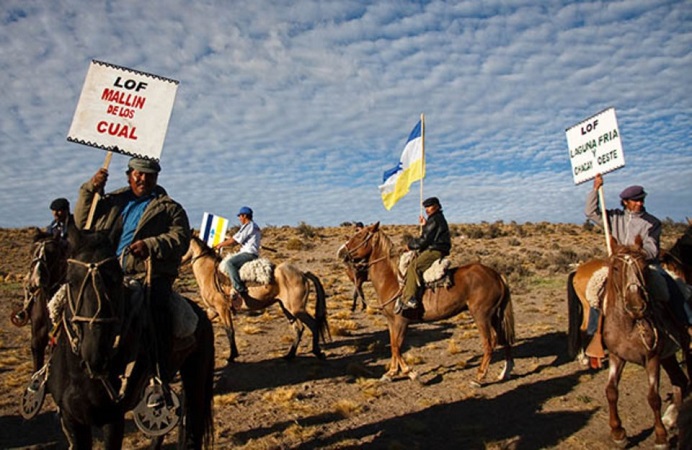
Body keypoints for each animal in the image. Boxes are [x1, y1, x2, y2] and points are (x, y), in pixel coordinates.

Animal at [181, 236, 328, 362]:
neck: (209, 274)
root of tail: (302, 273)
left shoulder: (223, 309)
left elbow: (229, 331)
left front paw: (232, 356)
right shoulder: (213, 310)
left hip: (296, 309)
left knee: (312, 324)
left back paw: (317, 352)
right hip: (287, 308)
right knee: (299, 328)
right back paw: (289, 355)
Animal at [340, 221, 512, 384]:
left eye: (360, 235)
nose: (341, 252)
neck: (392, 279)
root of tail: (497, 276)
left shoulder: (401, 321)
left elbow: (397, 346)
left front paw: (411, 373)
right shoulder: (391, 321)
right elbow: (393, 345)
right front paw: (391, 373)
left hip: (481, 316)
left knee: (489, 343)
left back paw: (479, 377)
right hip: (495, 316)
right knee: (504, 340)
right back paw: (504, 373)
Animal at [596, 237, 688, 448]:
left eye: (645, 267)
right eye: (615, 268)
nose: (637, 306)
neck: (629, 324)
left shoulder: (652, 358)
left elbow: (654, 398)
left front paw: (661, 437)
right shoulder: (616, 356)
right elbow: (611, 391)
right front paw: (618, 433)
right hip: (669, 356)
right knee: (681, 380)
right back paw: (671, 419)